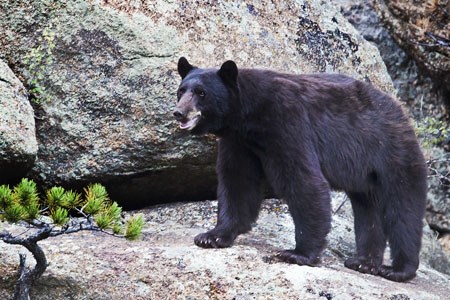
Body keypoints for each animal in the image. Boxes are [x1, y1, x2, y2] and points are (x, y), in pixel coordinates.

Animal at [174, 55, 428, 282]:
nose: (178, 112)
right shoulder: (238, 143)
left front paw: (298, 253)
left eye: (201, 93)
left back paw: (398, 269)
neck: (248, 114)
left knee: (403, 210)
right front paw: (211, 236)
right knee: (368, 210)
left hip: (392, 154)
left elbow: (303, 181)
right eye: (181, 90)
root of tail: (401, 111)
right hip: (365, 176)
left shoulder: (287, 122)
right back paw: (363, 262)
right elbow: (237, 183)